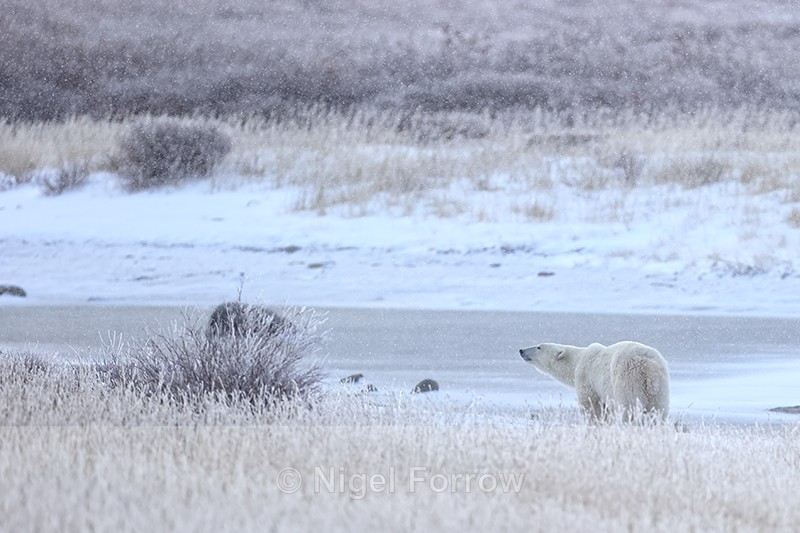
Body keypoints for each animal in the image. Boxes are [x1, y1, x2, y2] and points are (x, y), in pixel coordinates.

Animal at [519, 341, 669, 422]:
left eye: (539, 347)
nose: (521, 350)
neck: (578, 360)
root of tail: (649, 365)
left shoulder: (587, 378)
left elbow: (592, 407)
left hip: (628, 378)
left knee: (630, 408)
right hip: (659, 387)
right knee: (658, 410)